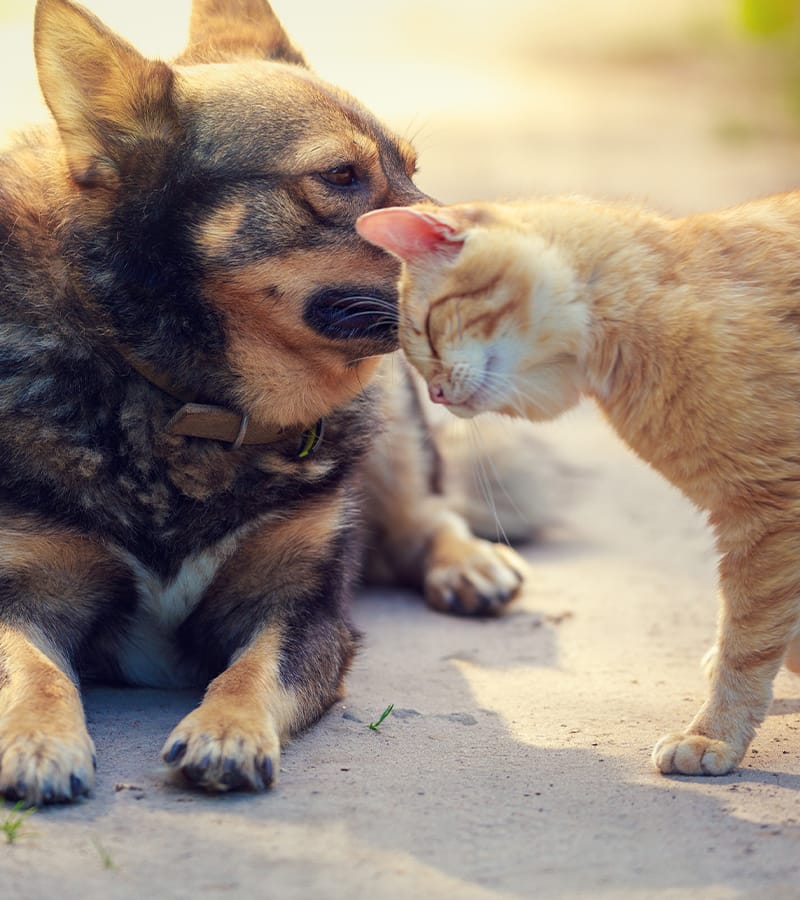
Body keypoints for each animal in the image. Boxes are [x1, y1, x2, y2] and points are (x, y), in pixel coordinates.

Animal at [1, 0, 532, 800]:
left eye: (412, 169)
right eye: (340, 175)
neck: (187, 403)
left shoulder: (301, 607)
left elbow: (255, 671)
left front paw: (228, 730)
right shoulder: (21, 590)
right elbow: (30, 668)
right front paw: (38, 739)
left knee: (424, 513)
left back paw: (469, 563)